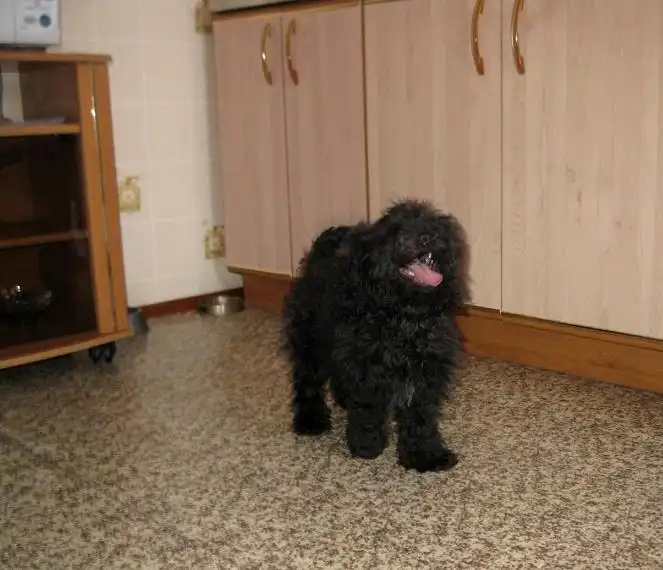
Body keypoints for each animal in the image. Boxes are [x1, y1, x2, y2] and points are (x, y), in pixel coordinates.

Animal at [282, 199, 471, 472]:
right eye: (396, 230)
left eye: (433, 223)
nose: (427, 236)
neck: (405, 316)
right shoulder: (367, 366)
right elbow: (368, 407)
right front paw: (367, 445)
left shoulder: (426, 372)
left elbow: (421, 418)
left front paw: (425, 455)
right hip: (310, 343)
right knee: (306, 383)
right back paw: (310, 421)